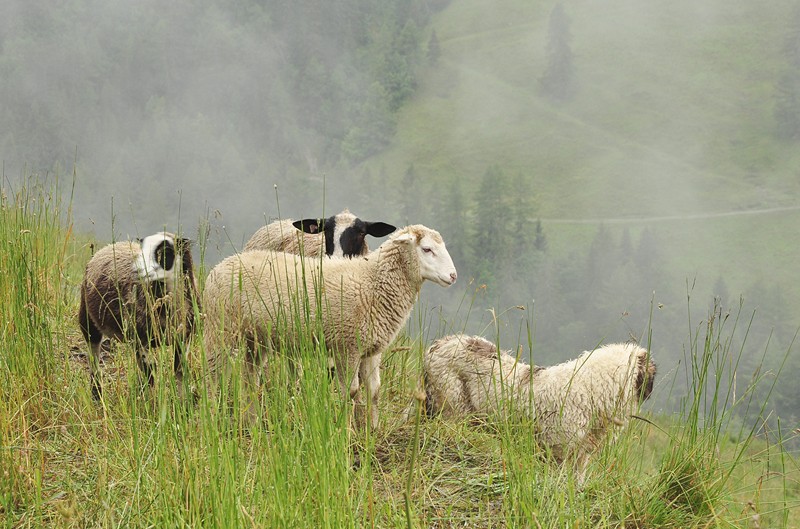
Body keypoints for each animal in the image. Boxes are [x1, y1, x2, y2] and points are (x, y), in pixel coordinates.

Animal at [77, 231, 199, 396]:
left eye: (165, 251)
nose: (139, 270)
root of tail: (108, 246)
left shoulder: (184, 337)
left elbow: (180, 370)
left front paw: (182, 400)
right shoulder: (140, 337)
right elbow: (150, 373)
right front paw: (150, 400)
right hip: (88, 319)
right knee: (94, 357)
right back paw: (97, 392)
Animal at [203, 225, 460, 426]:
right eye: (426, 249)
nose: (453, 276)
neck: (373, 280)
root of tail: (221, 265)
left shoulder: (372, 349)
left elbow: (374, 390)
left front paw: (372, 431)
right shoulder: (347, 347)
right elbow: (351, 391)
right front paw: (346, 430)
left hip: (255, 339)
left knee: (250, 378)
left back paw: (252, 422)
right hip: (220, 328)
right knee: (212, 374)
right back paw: (211, 417)